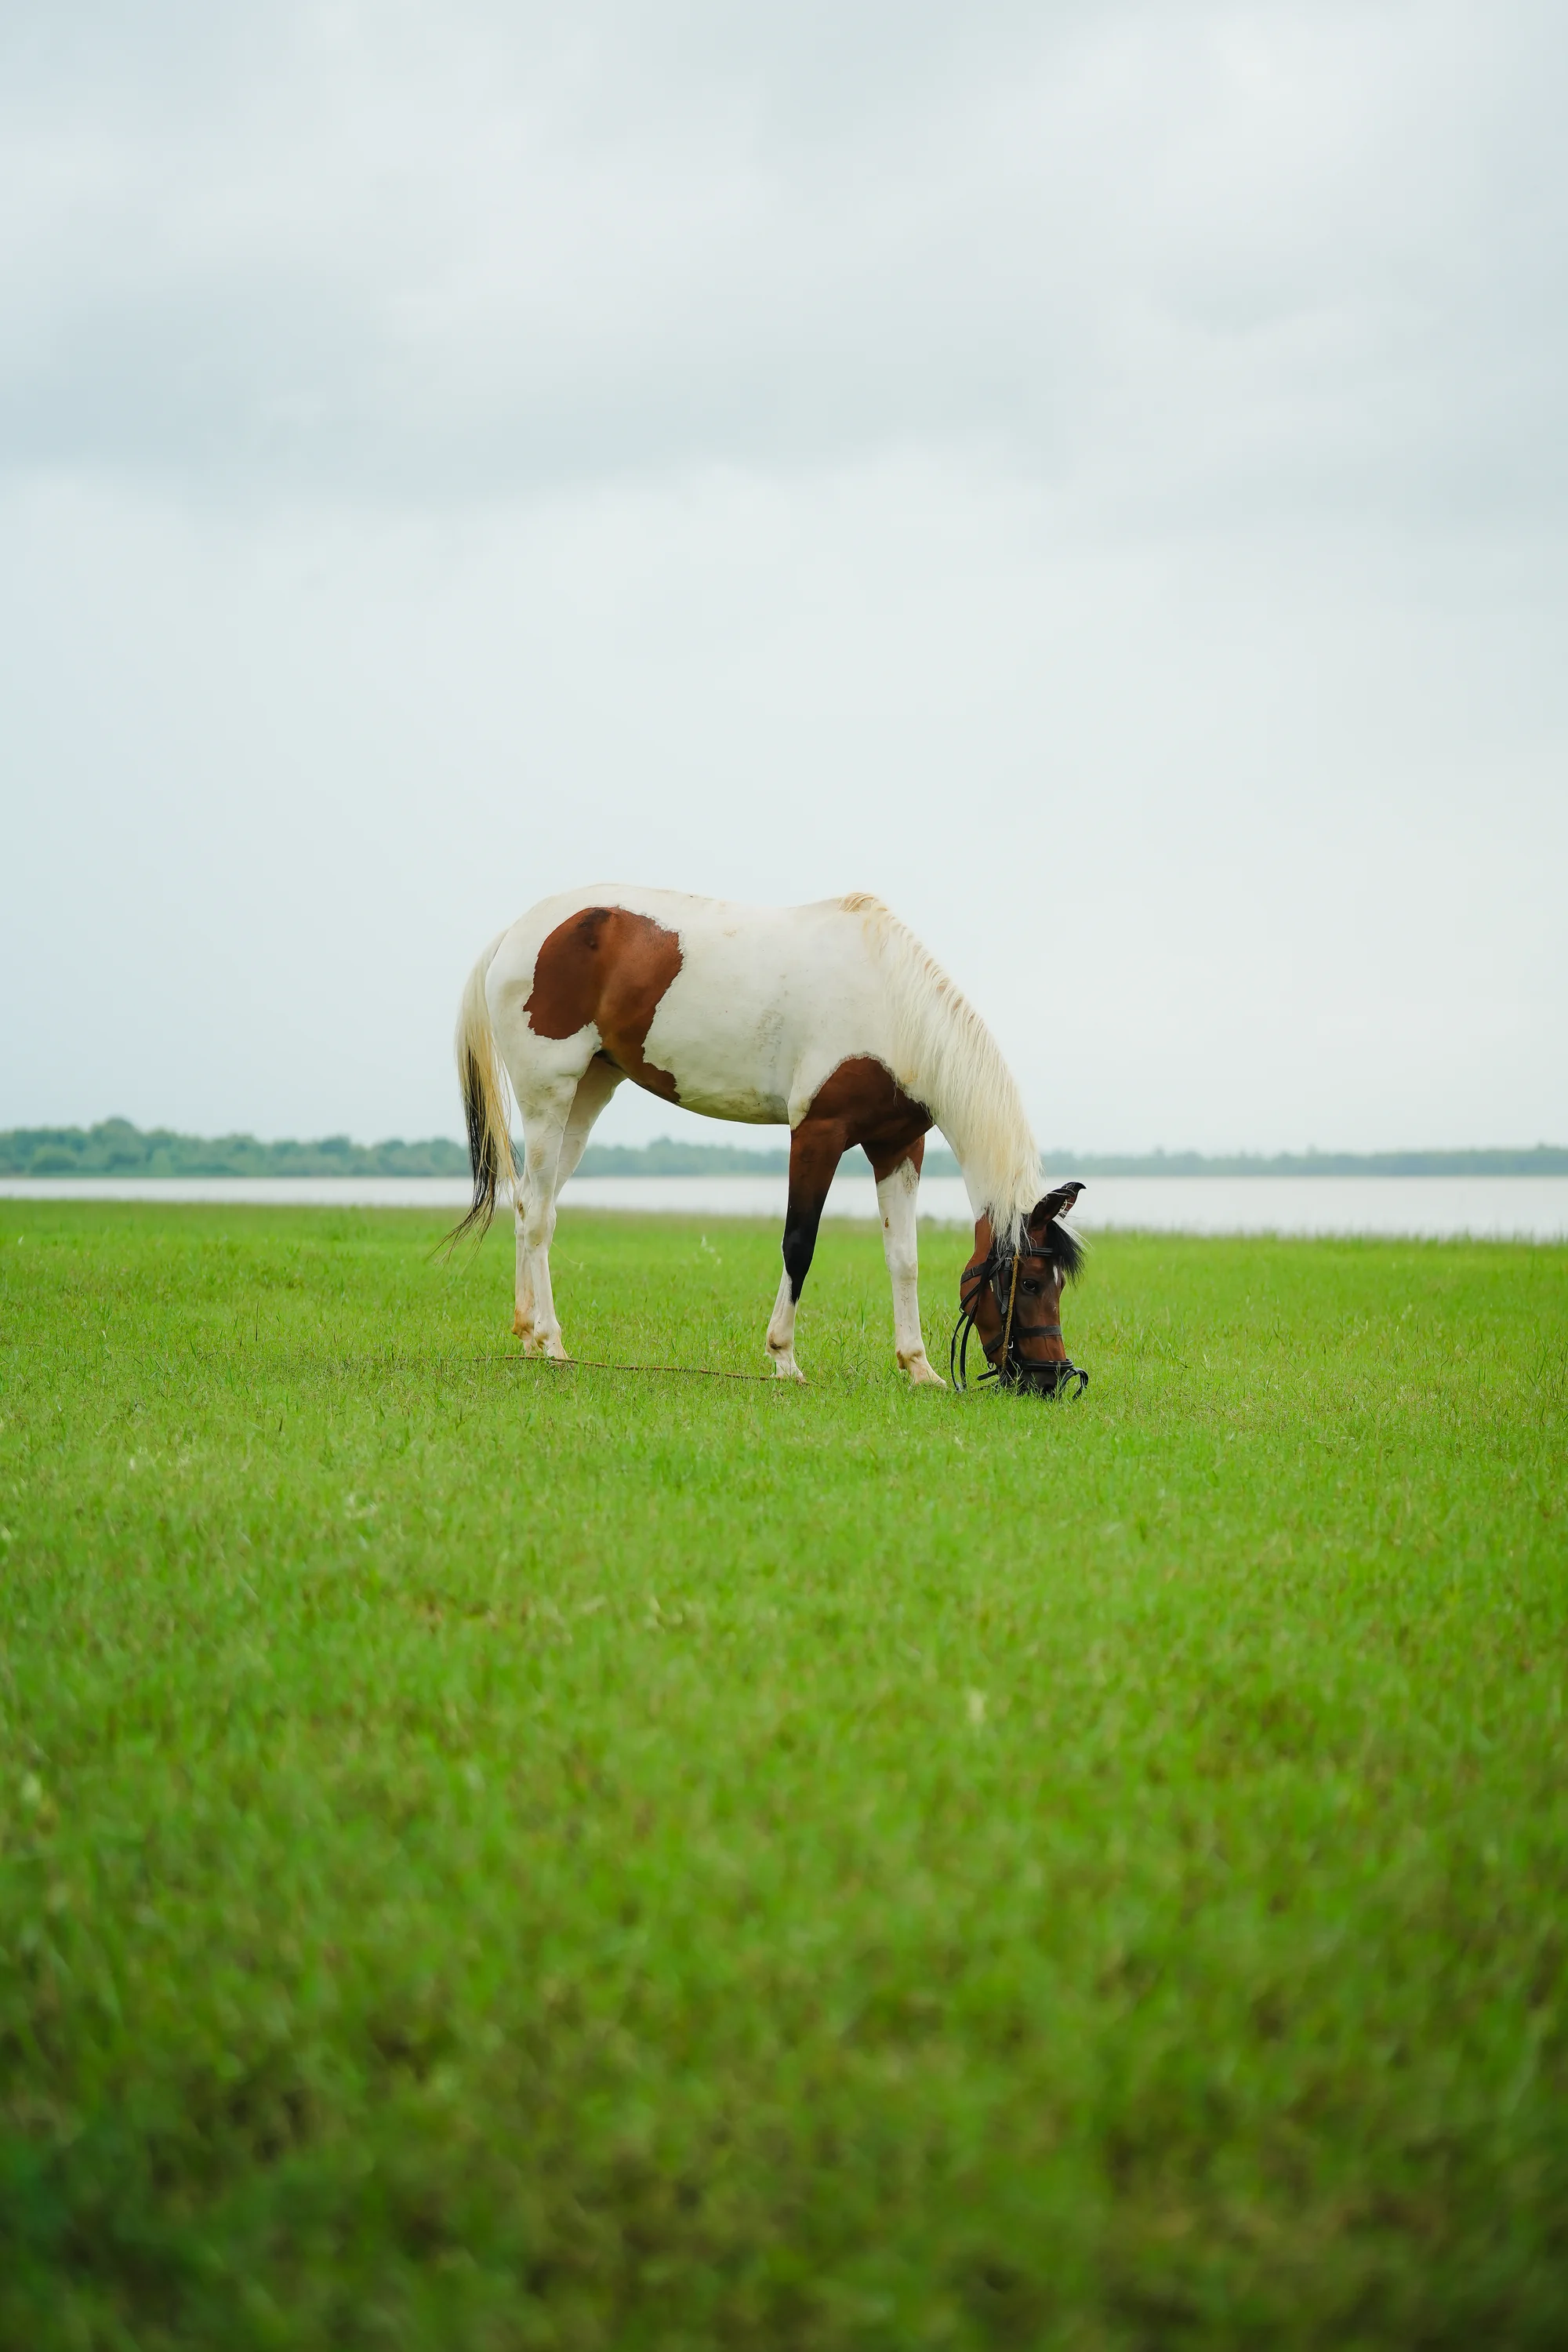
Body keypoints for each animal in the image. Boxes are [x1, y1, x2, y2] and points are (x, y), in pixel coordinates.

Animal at [449, 887, 1087, 1392]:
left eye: (1059, 1282)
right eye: (1031, 1281)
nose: (1053, 1379)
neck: (890, 1005)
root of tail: (517, 933)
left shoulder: (898, 1147)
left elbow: (903, 1258)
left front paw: (918, 1367)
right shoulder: (817, 1133)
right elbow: (798, 1244)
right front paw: (784, 1359)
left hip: (587, 1095)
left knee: (533, 1204)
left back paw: (529, 1336)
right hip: (548, 1096)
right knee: (538, 1216)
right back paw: (552, 1344)